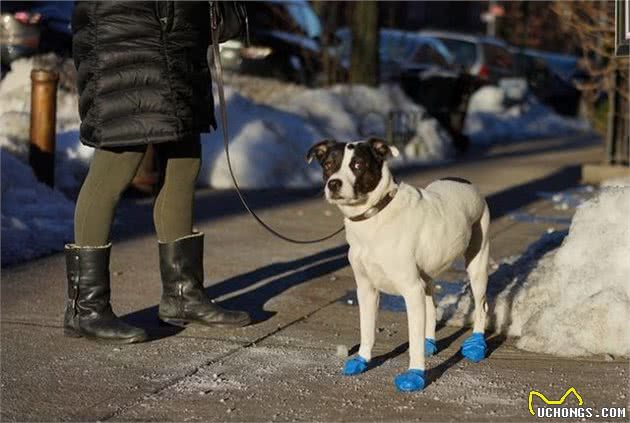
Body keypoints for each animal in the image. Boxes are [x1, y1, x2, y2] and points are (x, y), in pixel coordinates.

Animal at [308, 137, 494, 392]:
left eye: (358, 165)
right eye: (328, 164)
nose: (333, 183)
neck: (374, 216)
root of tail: (464, 180)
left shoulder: (410, 289)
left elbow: (413, 340)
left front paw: (415, 374)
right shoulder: (366, 289)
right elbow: (367, 329)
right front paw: (362, 360)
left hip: (477, 264)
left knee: (481, 305)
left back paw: (476, 345)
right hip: (426, 275)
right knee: (431, 306)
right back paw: (430, 342)